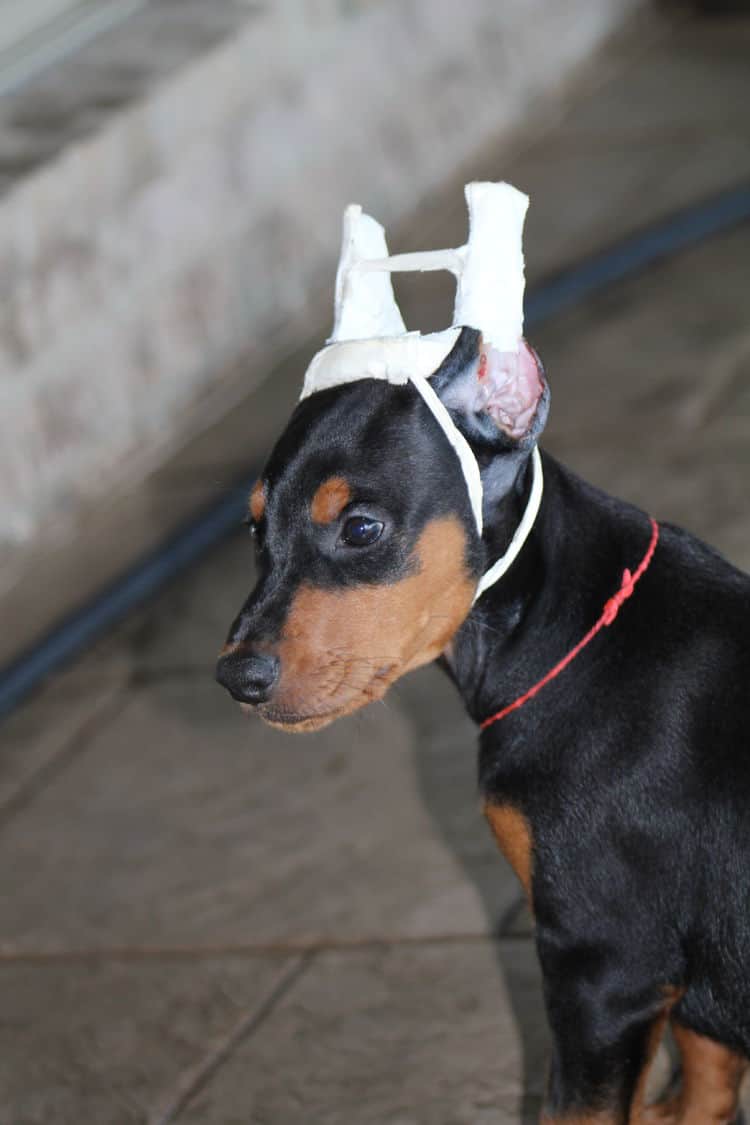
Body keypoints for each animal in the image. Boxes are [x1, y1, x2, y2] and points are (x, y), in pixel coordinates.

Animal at [215, 328, 750, 1125]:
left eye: (361, 527)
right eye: (256, 528)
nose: (236, 678)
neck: (570, 627)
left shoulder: (602, 964)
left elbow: (577, 1109)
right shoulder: (673, 970)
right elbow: (708, 1072)